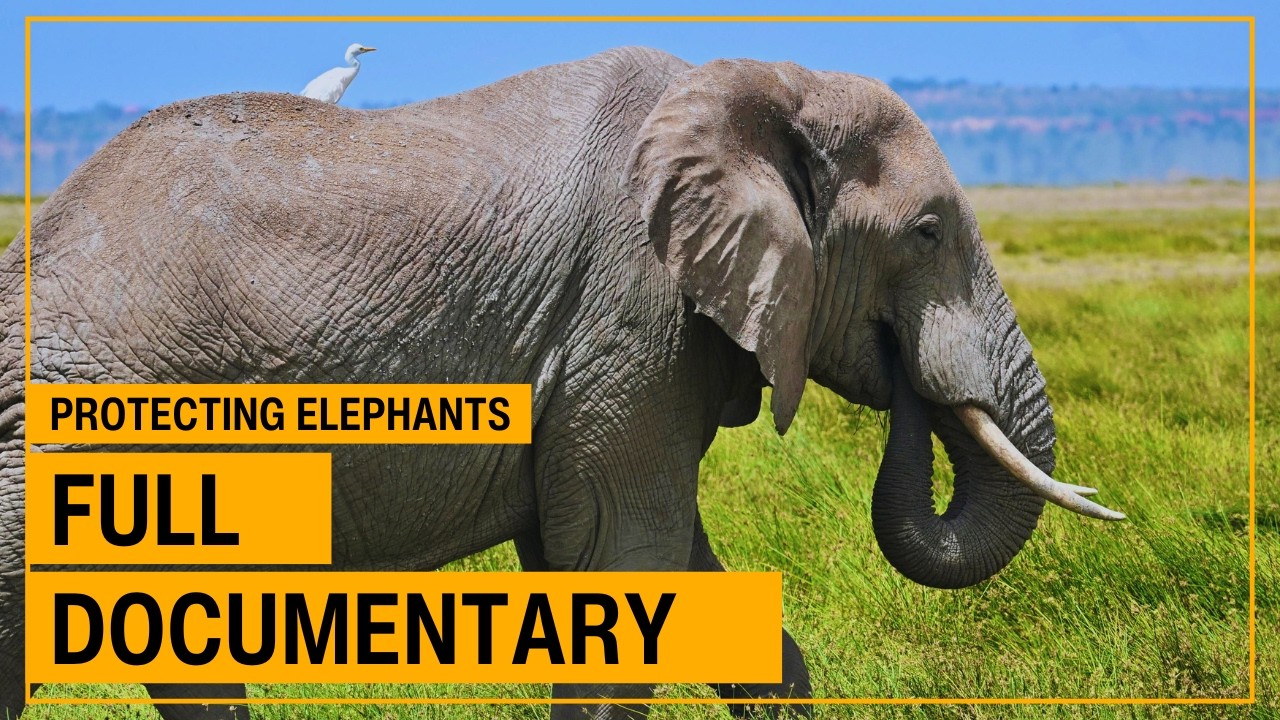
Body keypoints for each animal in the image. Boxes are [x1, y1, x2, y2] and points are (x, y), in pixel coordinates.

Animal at [0, 46, 1121, 719]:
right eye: (926, 232)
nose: (904, 374)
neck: (755, 85)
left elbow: (658, 572)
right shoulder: (629, 312)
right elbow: (623, 557)